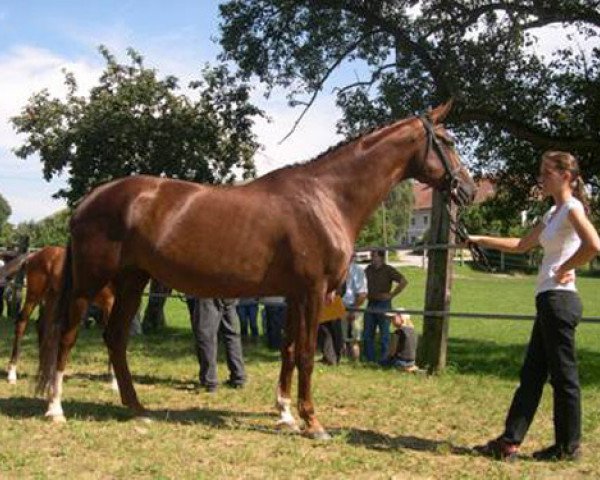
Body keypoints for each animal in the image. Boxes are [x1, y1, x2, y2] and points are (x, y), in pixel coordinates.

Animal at [1, 248, 115, 386]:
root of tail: (35, 254)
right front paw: (114, 381)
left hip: (51, 298)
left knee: (41, 325)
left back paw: (43, 371)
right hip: (34, 294)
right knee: (22, 322)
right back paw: (12, 374)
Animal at [38, 101, 478, 436]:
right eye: (449, 142)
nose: (470, 190)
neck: (325, 197)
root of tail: (90, 199)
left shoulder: (293, 295)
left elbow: (287, 350)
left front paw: (284, 414)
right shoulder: (312, 292)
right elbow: (305, 354)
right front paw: (313, 422)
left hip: (132, 281)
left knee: (115, 338)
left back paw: (136, 408)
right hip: (90, 284)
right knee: (67, 335)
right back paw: (56, 409)